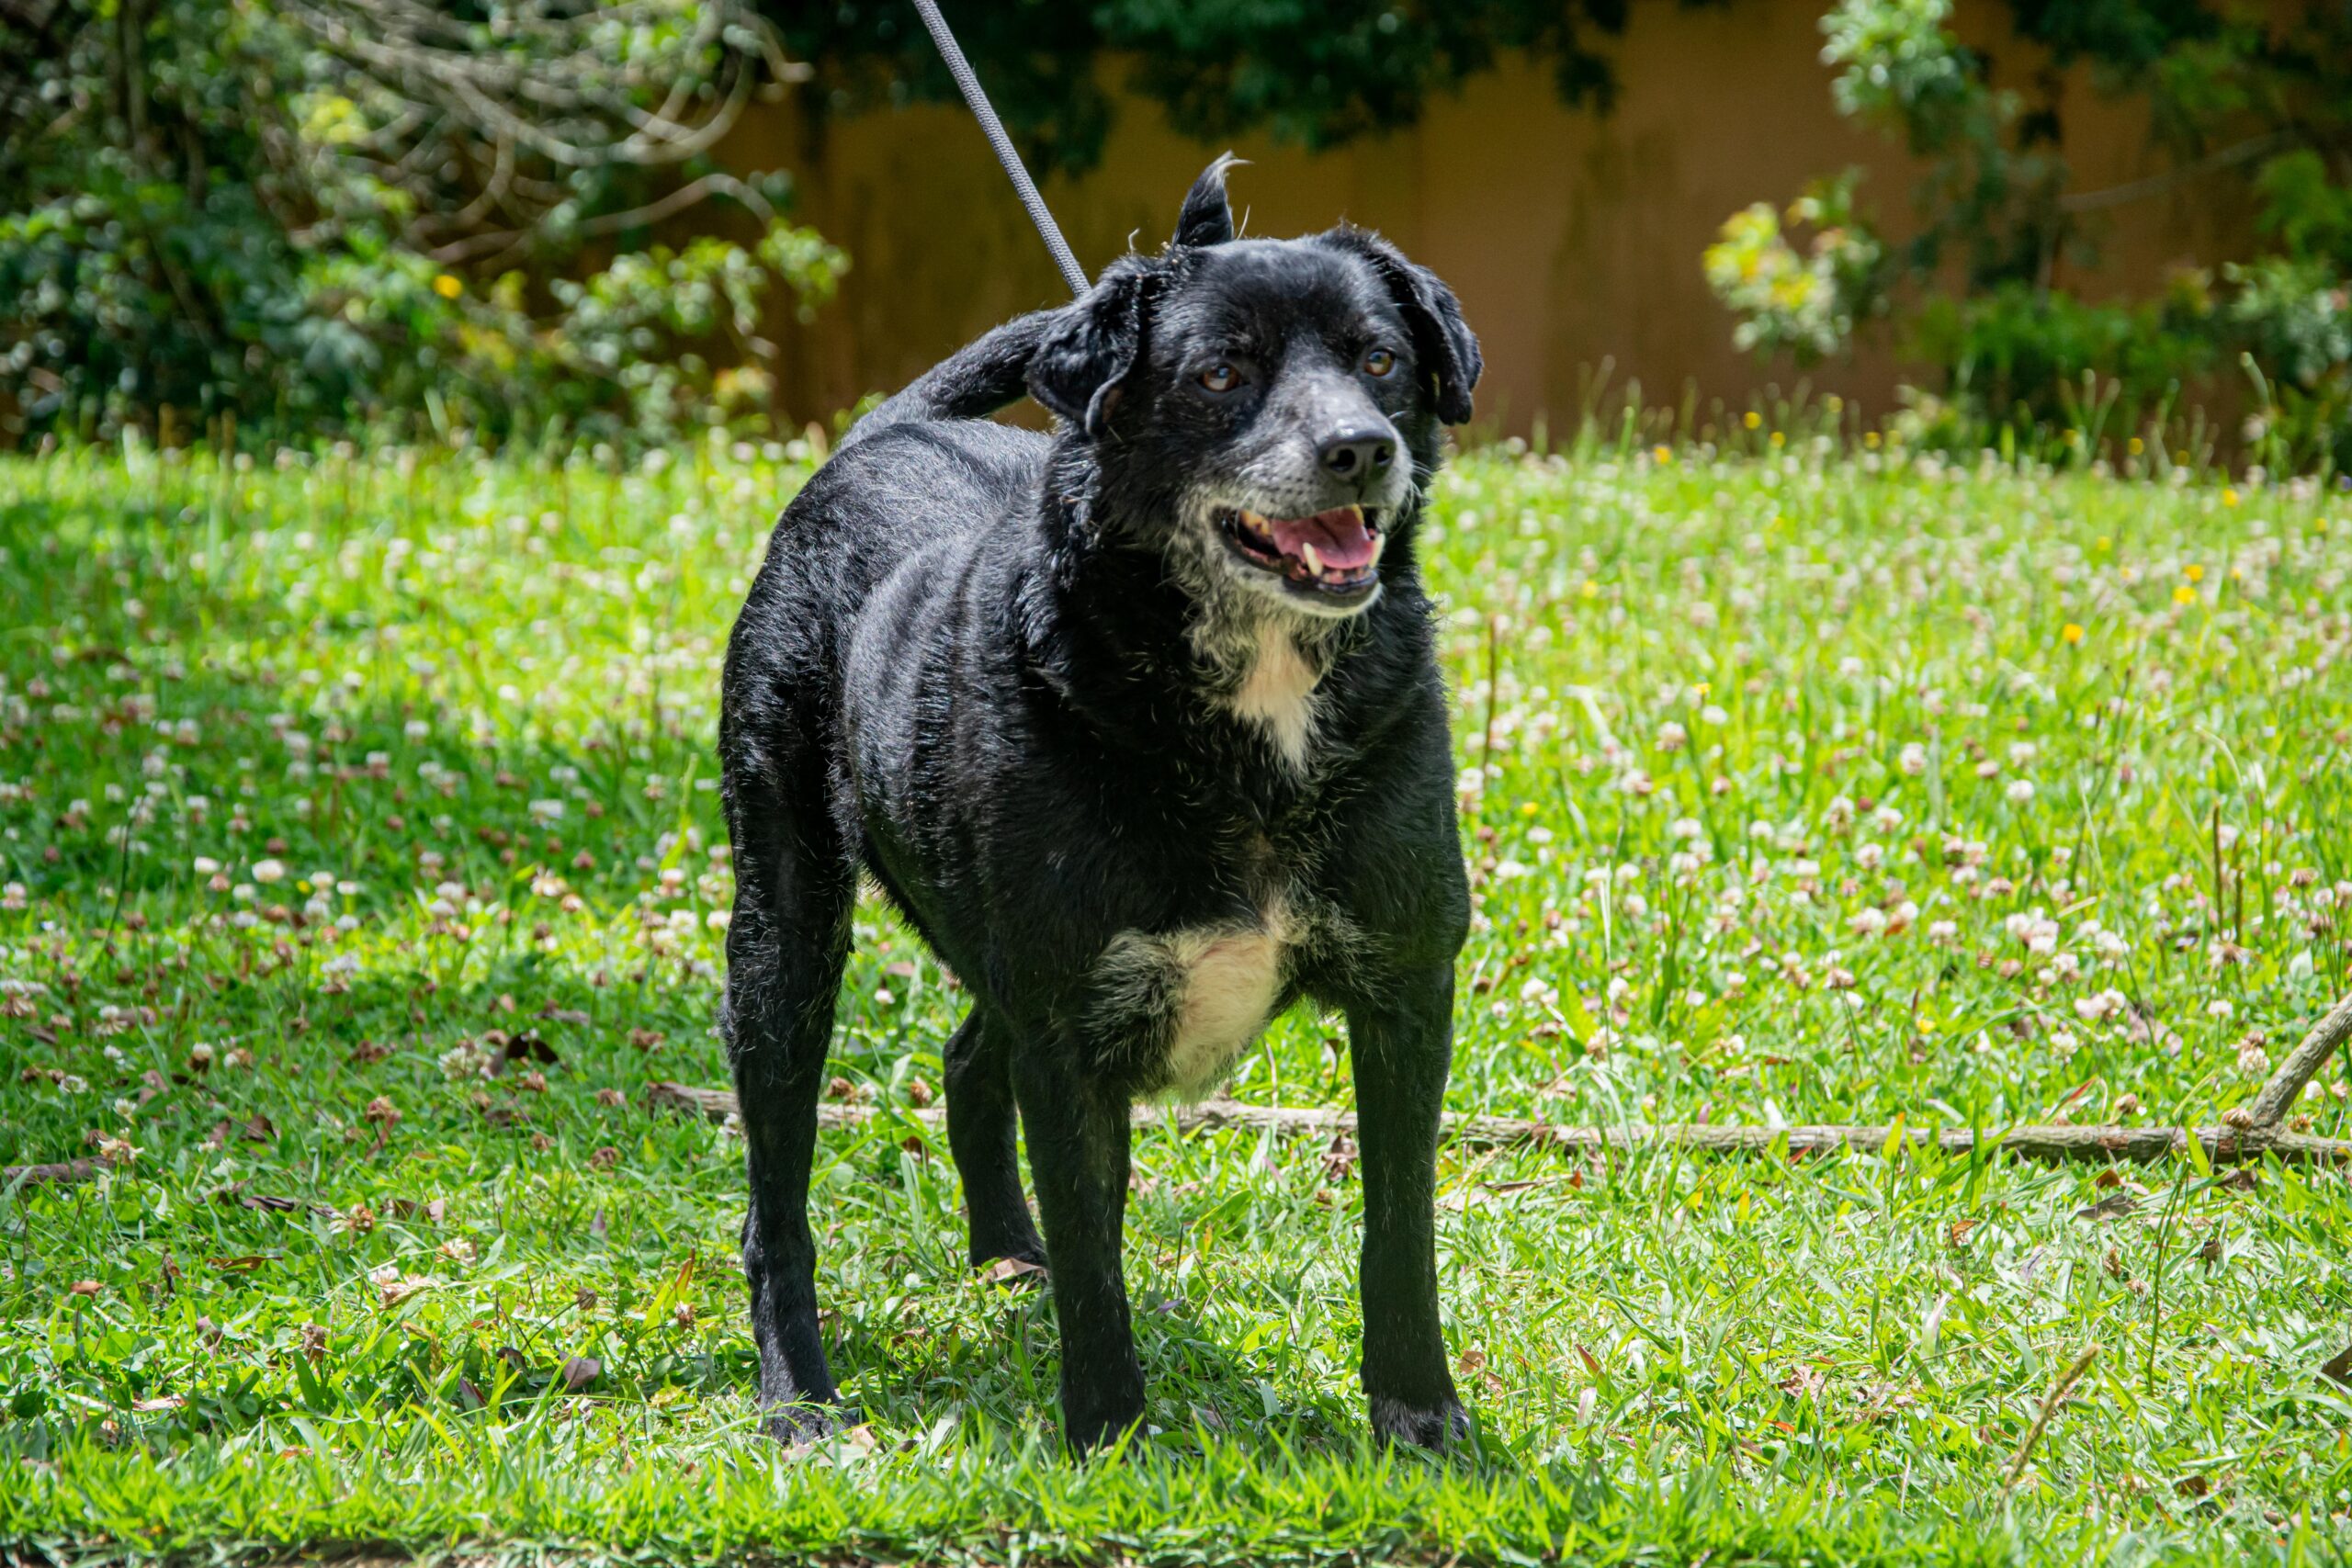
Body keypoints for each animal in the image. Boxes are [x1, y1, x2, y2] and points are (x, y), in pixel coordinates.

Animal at [719, 160, 1486, 1457]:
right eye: (1219, 372)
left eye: (1381, 358)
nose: (1360, 449)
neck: (1244, 711)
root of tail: (884, 432)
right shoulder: (1070, 1027)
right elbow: (1096, 1257)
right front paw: (1111, 1441)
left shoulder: (1404, 989)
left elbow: (1400, 1235)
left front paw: (1419, 1415)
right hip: (784, 939)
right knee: (777, 1202)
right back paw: (799, 1394)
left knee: (966, 1057)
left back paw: (1002, 1255)